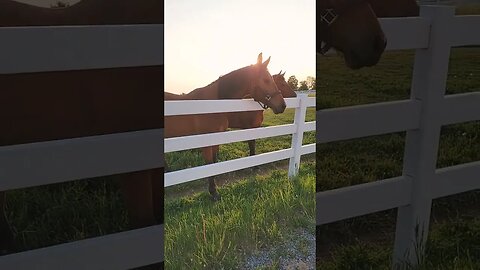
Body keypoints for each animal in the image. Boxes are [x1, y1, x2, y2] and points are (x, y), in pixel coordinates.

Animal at [165, 52, 284, 200]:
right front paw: (213, 192)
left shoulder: (217, 140)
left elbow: (215, 162)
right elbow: (209, 164)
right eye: (267, 80)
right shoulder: (207, 142)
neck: (213, 105)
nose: (282, 105)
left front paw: (214, 189)